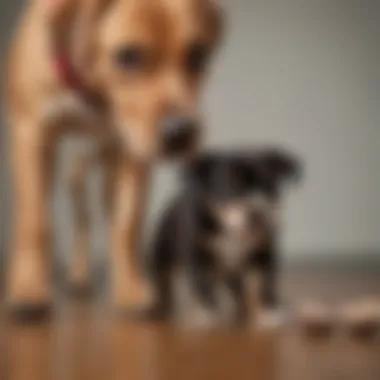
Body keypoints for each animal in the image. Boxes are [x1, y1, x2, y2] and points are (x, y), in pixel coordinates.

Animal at [3, 0, 223, 316]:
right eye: (127, 56)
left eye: (197, 54)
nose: (181, 133)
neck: (93, 93)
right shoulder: (31, 134)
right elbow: (35, 223)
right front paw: (28, 288)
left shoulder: (132, 149)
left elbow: (126, 226)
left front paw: (131, 289)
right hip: (73, 177)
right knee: (81, 219)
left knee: (102, 219)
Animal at [150, 147, 302, 328]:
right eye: (232, 189)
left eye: (270, 189)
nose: (258, 211)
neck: (233, 233)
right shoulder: (198, 255)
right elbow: (203, 285)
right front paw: (207, 312)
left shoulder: (263, 253)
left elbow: (266, 282)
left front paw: (268, 311)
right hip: (162, 253)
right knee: (163, 280)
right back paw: (162, 306)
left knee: (236, 287)